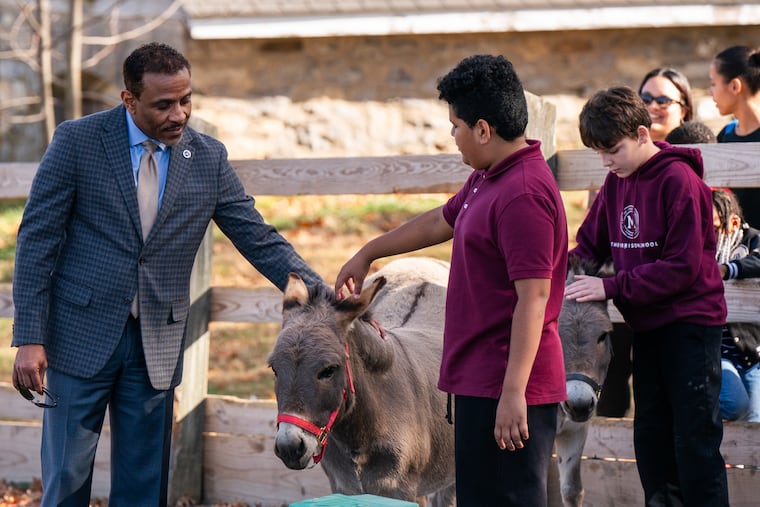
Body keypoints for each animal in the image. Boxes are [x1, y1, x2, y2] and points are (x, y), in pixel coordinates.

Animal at [268, 257, 456, 506]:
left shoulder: (401, 492)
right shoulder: (343, 488)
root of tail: (421, 259)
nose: (289, 447)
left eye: (329, 370)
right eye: (274, 369)